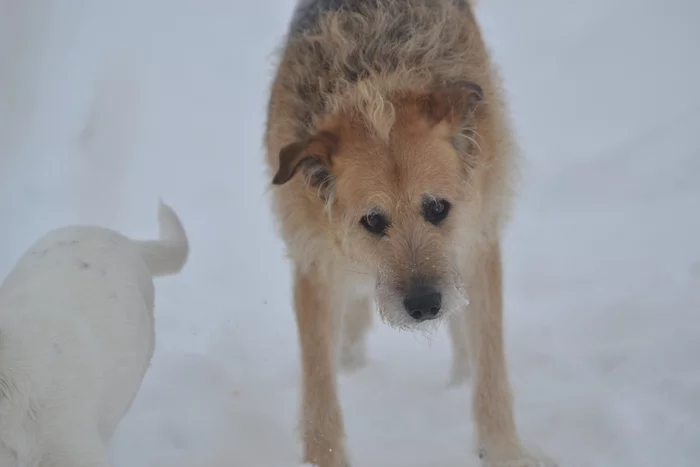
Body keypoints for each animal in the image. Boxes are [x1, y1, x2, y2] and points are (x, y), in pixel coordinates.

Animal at [266, 0, 556, 467]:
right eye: (372, 221)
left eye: (437, 208)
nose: (423, 306)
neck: (376, 81)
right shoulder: (315, 265)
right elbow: (319, 388)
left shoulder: (477, 247)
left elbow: (490, 362)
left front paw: (503, 451)